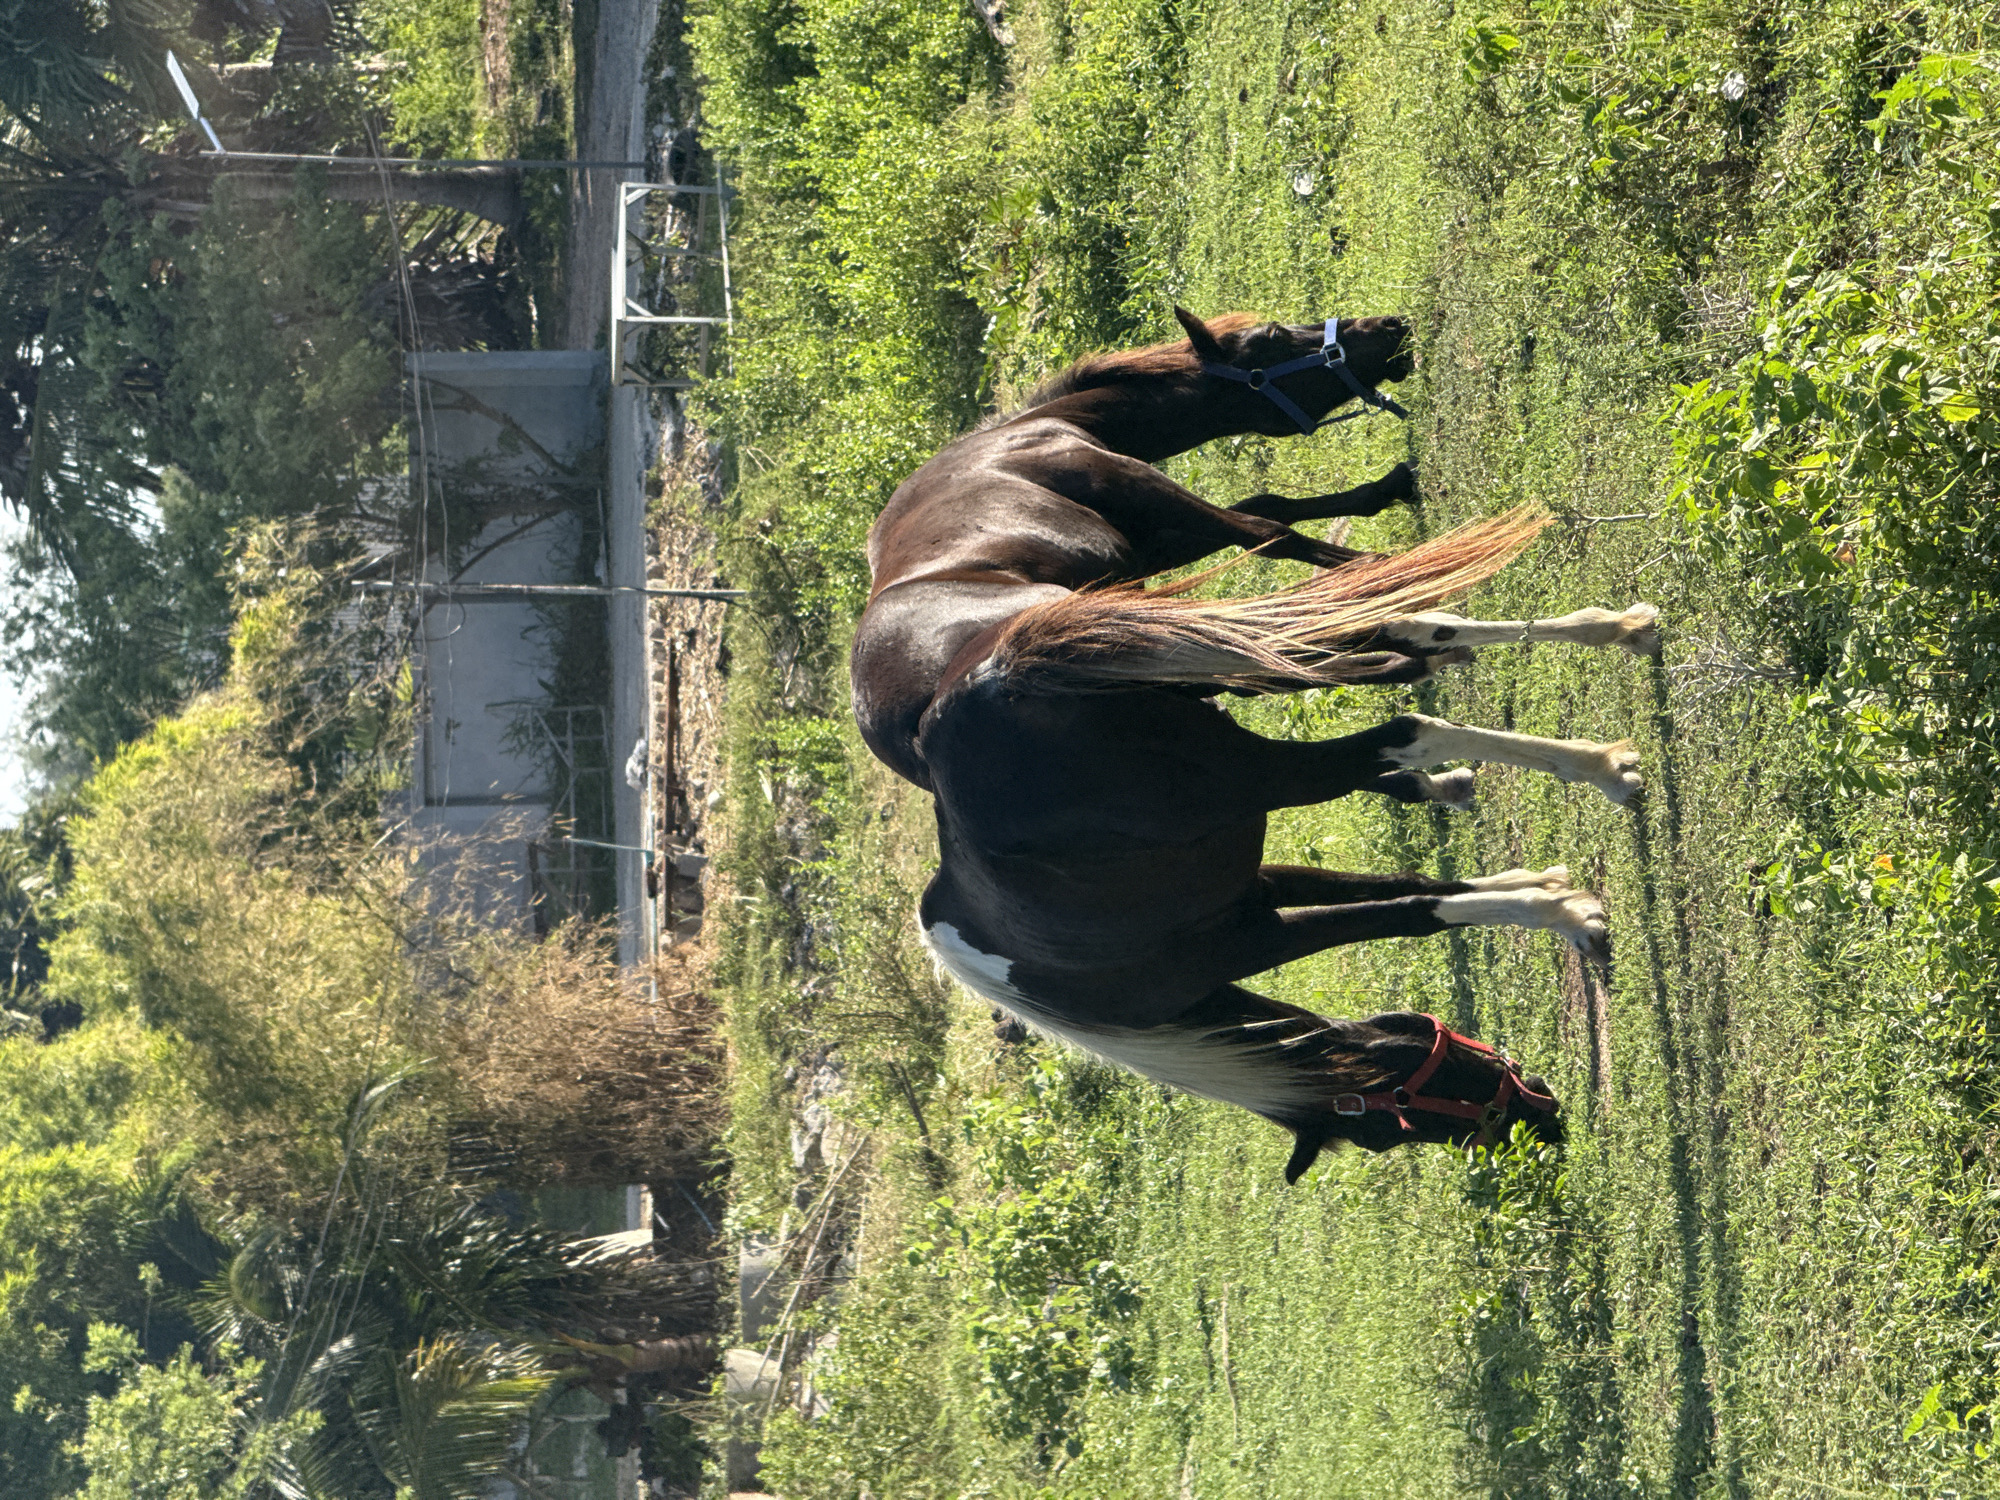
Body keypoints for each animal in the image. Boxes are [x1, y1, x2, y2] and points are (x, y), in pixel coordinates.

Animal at [850, 309, 1658, 1180]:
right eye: (1390, 1121)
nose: (1542, 1119)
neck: (1027, 439)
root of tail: (978, 685)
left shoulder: (1249, 891)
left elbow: (1396, 881)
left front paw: (1551, 893)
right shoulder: (1247, 923)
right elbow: (1407, 903)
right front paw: (1558, 902)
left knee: (1383, 651)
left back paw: (1596, 681)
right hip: (1250, 762)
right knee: (1395, 702)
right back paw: (1598, 734)